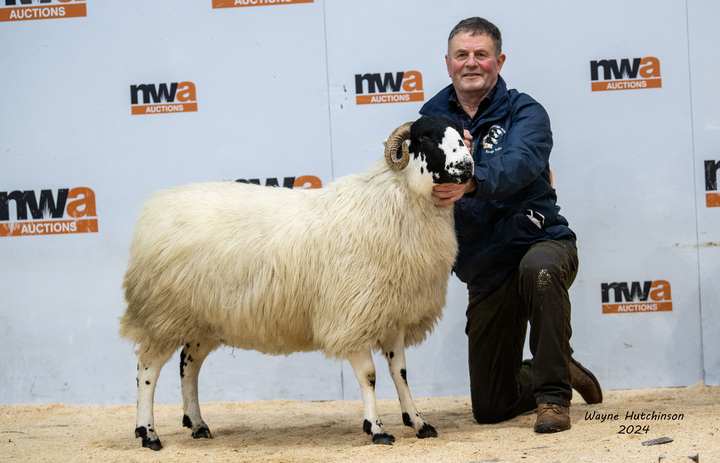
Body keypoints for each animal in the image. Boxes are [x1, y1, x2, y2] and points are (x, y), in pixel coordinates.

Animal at [119, 115, 472, 450]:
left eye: (460, 133)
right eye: (425, 137)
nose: (467, 166)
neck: (391, 200)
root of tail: (155, 207)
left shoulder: (392, 317)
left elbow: (400, 374)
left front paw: (418, 422)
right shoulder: (351, 318)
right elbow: (369, 376)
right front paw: (377, 429)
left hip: (202, 321)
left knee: (188, 365)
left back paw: (197, 424)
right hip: (162, 314)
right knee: (147, 369)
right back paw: (148, 433)